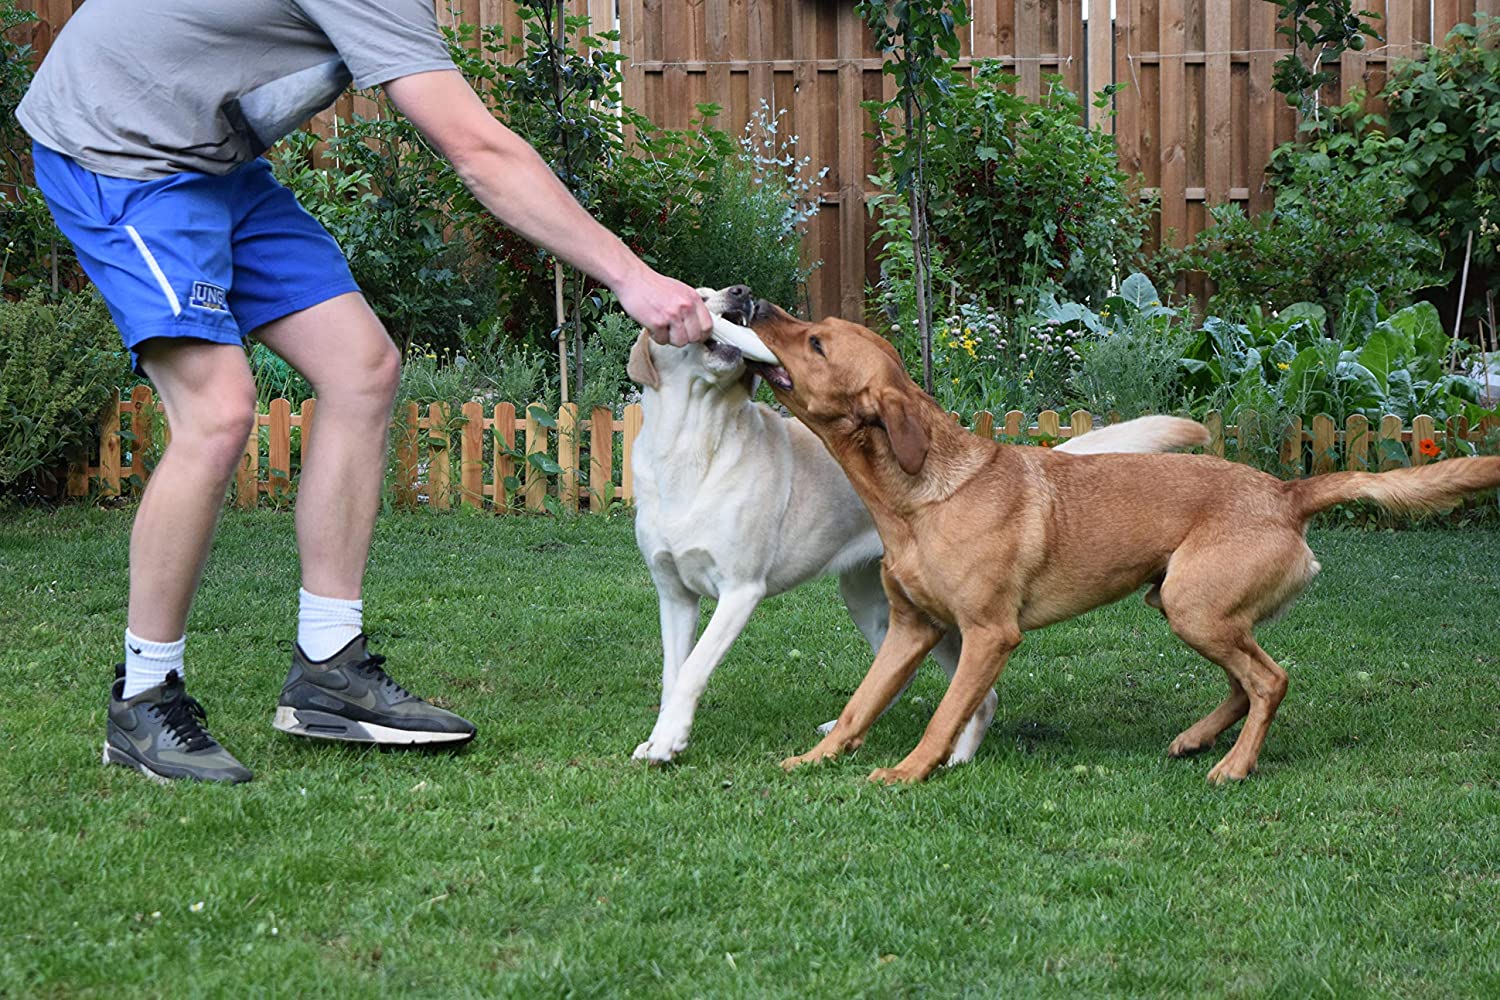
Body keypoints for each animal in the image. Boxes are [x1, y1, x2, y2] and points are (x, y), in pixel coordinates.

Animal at [627, 284, 1212, 761]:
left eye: (817, 343)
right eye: (700, 294)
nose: (747, 295)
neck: (691, 448)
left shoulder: (740, 591)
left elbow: (694, 670)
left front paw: (670, 739)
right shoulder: (673, 594)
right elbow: (673, 673)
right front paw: (661, 736)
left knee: (977, 694)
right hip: (876, 604)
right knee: (905, 681)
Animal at [744, 301, 1500, 785]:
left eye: (816, 344)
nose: (752, 300)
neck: (921, 497)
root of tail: (1286, 493)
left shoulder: (988, 635)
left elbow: (944, 718)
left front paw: (905, 774)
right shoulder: (911, 629)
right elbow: (858, 706)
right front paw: (814, 762)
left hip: (1196, 607)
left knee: (1270, 680)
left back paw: (1235, 764)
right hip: (1189, 608)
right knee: (1246, 681)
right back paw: (1199, 739)